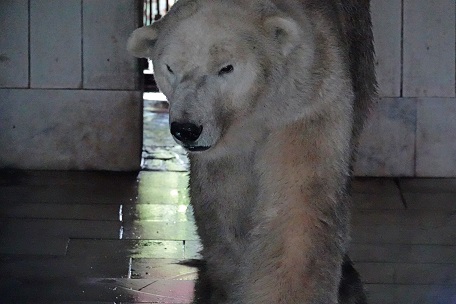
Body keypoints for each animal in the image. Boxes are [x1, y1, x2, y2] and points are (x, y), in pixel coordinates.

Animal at [127, 1, 374, 302]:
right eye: (170, 67)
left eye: (226, 68)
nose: (186, 129)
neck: (253, 113)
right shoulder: (225, 151)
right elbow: (227, 208)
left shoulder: (307, 101)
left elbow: (299, 202)